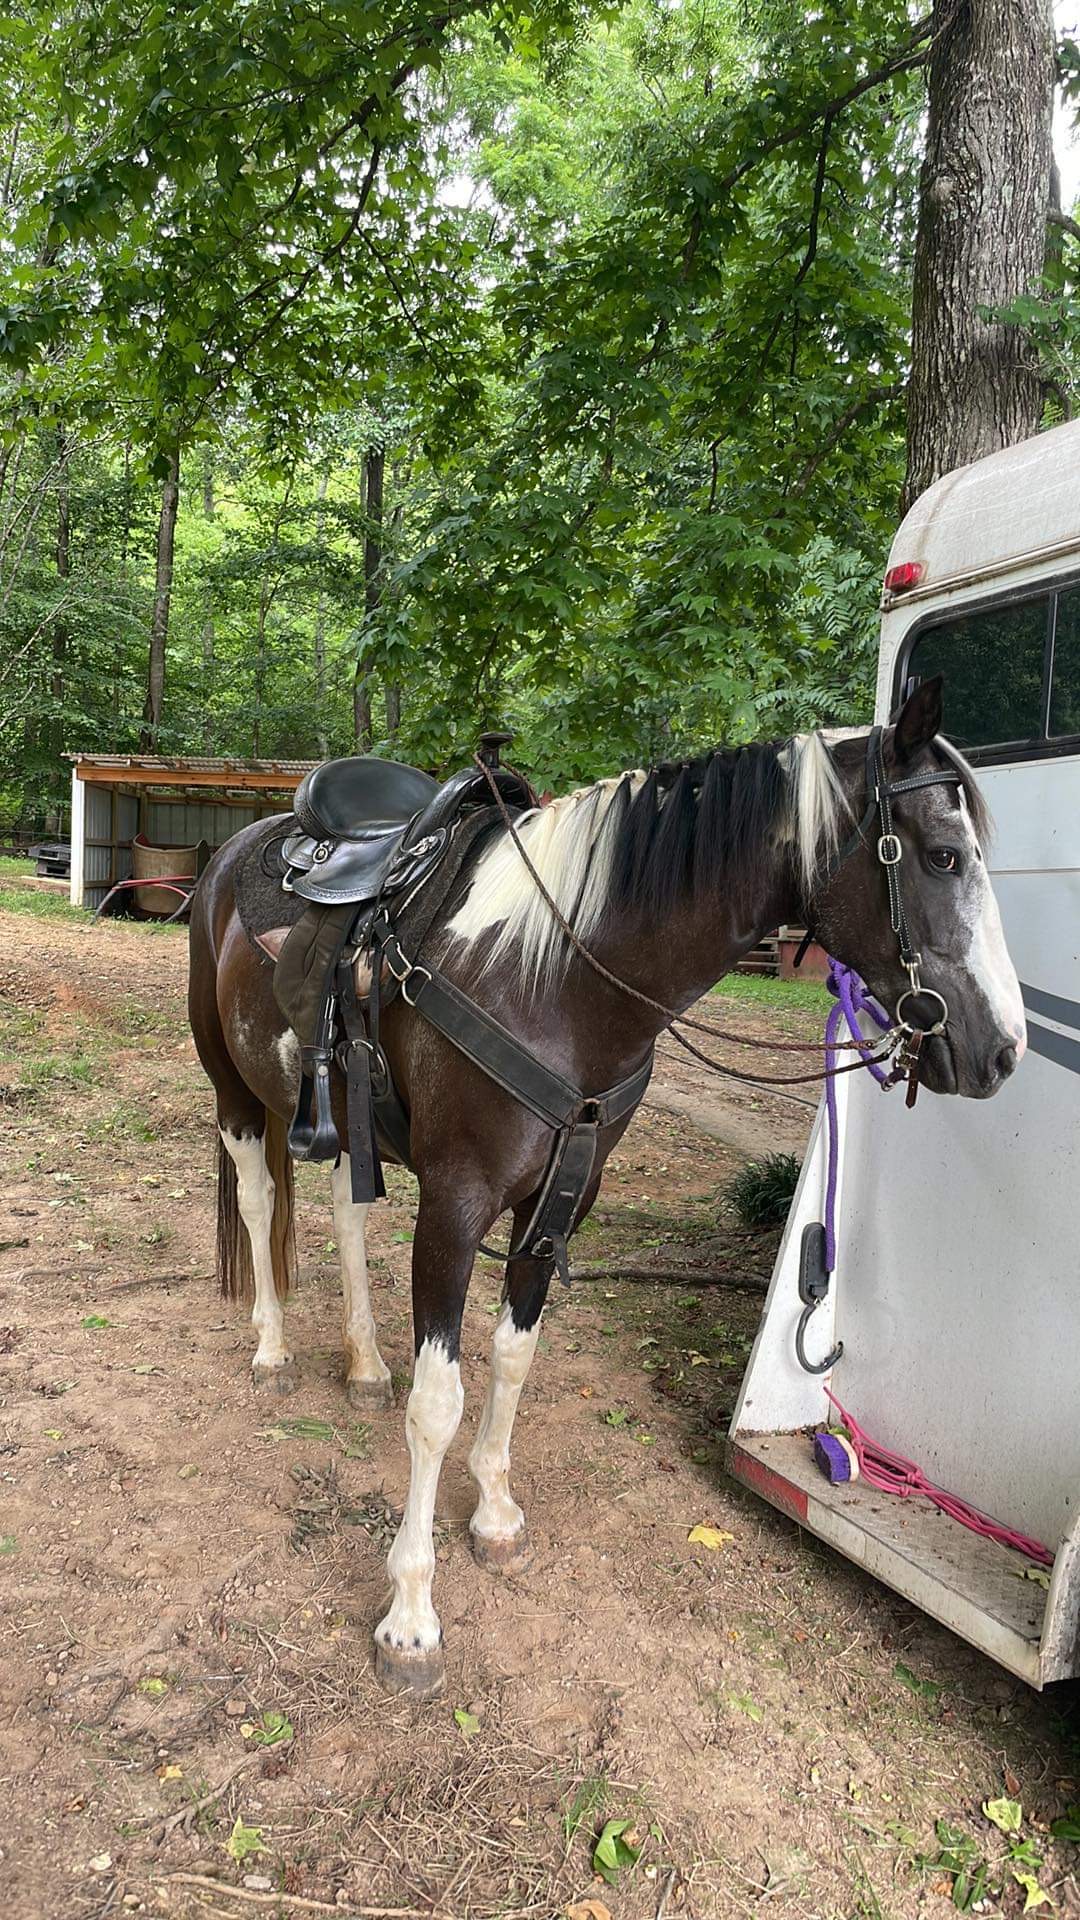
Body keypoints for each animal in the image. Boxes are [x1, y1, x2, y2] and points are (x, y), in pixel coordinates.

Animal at [187, 677, 1026, 1696]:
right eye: (943, 856)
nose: (1001, 1050)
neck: (551, 980)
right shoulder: (455, 1208)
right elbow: (439, 1402)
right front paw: (411, 1617)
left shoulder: (559, 1205)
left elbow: (513, 1358)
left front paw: (494, 1514)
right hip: (232, 1091)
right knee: (259, 1200)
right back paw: (272, 1348)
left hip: (347, 1125)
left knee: (346, 1219)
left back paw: (362, 1366)